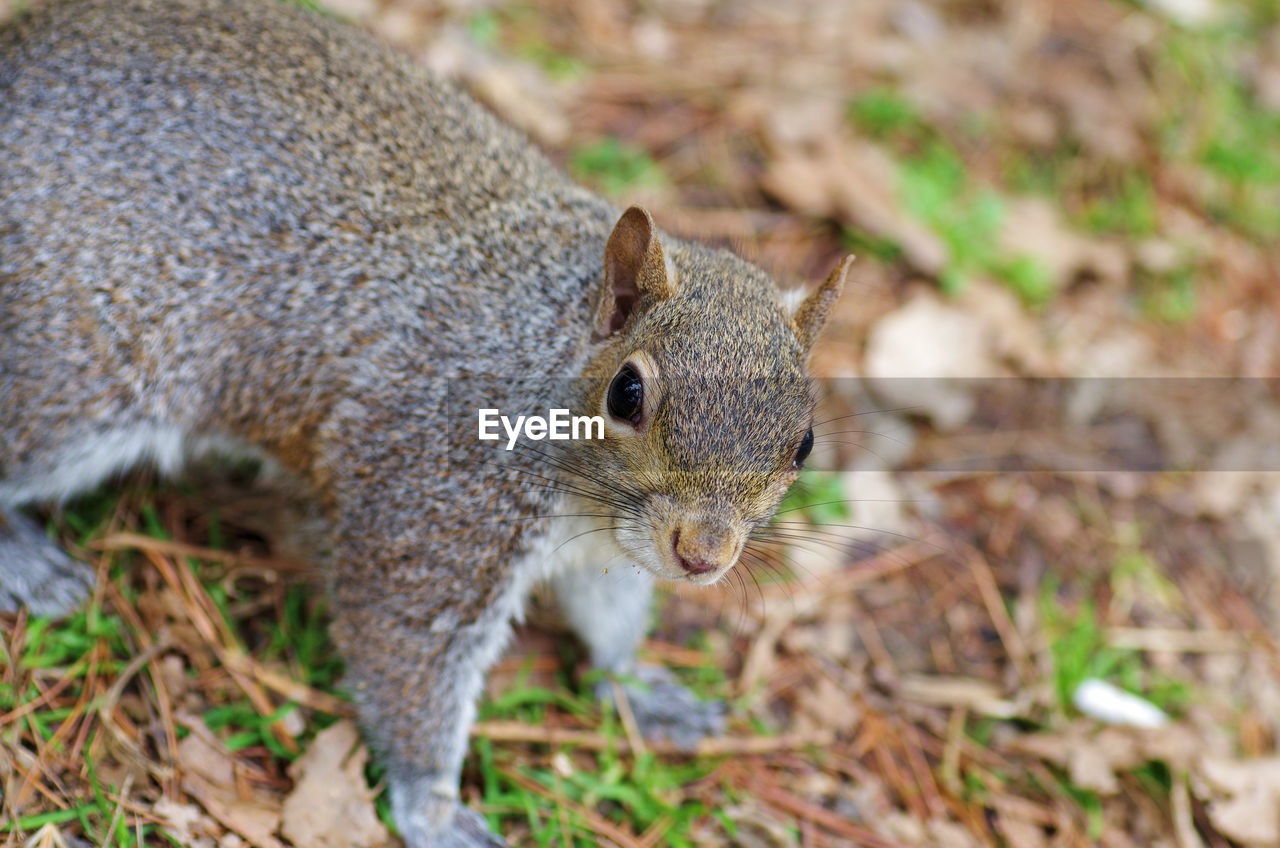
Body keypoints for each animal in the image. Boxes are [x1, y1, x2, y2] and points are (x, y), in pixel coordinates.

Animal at [0, 1, 855, 848]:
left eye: (804, 442)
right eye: (627, 395)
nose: (704, 556)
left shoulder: (603, 550)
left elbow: (609, 615)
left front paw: (634, 685)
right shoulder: (437, 496)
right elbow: (407, 643)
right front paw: (432, 808)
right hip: (74, 371)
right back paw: (27, 561)